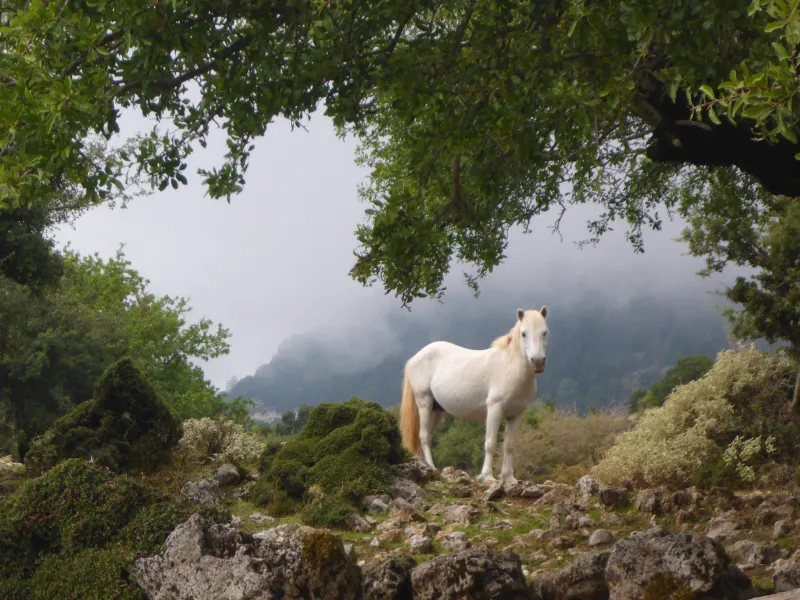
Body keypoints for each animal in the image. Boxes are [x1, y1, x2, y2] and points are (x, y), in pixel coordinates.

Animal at [399, 306, 549, 484]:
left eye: (545, 332)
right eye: (524, 333)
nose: (537, 362)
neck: (510, 367)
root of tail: (414, 358)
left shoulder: (516, 414)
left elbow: (509, 445)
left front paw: (509, 478)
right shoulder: (495, 409)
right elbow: (490, 443)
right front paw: (487, 477)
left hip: (436, 410)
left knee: (426, 435)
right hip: (424, 402)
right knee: (423, 436)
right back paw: (432, 468)